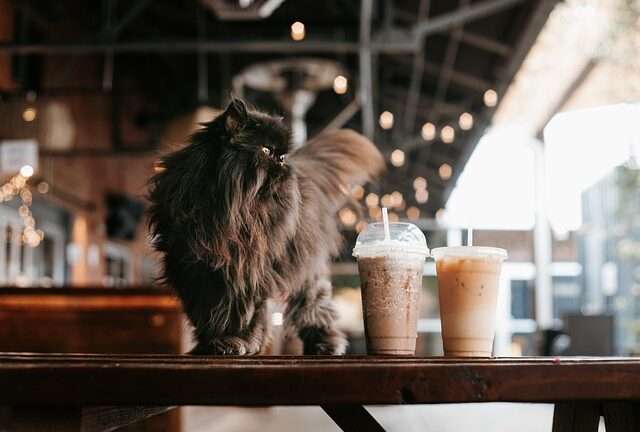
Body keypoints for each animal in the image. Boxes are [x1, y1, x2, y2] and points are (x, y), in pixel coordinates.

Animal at [148, 98, 382, 354]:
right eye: (266, 151)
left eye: (282, 156)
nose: (283, 163)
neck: (233, 213)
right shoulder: (195, 271)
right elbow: (206, 313)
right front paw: (213, 344)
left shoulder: (248, 271)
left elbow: (241, 313)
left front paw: (236, 341)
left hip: (306, 270)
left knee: (314, 307)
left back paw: (325, 345)